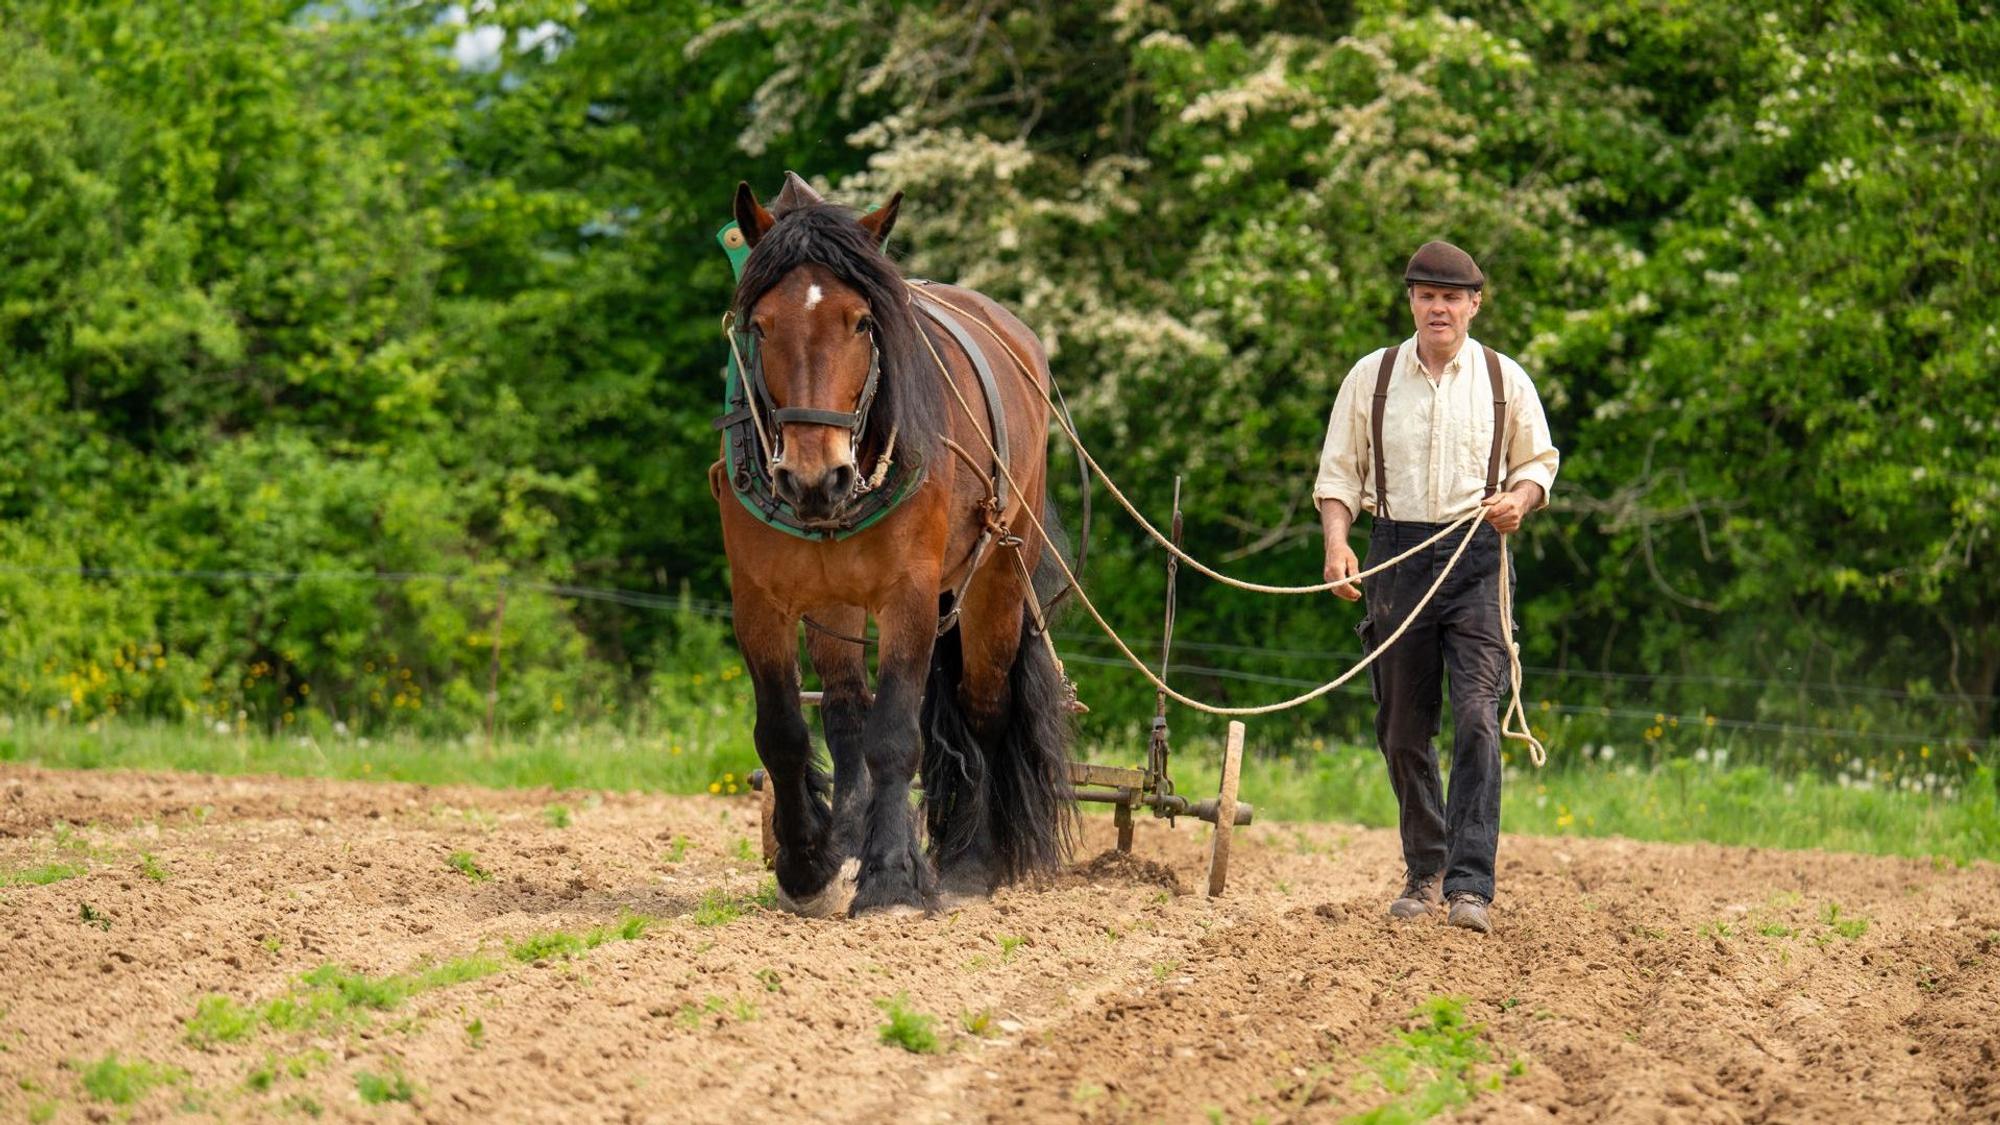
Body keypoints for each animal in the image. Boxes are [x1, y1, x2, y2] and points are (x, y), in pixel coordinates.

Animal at [715, 173, 1075, 916]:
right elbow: (785, 732)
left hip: (998, 577)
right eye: (760, 324)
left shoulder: (910, 592)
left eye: (861, 321)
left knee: (983, 707)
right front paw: (808, 866)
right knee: (846, 709)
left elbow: (895, 734)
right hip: (836, 598)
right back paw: (850, 838)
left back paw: (971, 862)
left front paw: (891, 879)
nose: (813, 476)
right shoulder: (759, 598)